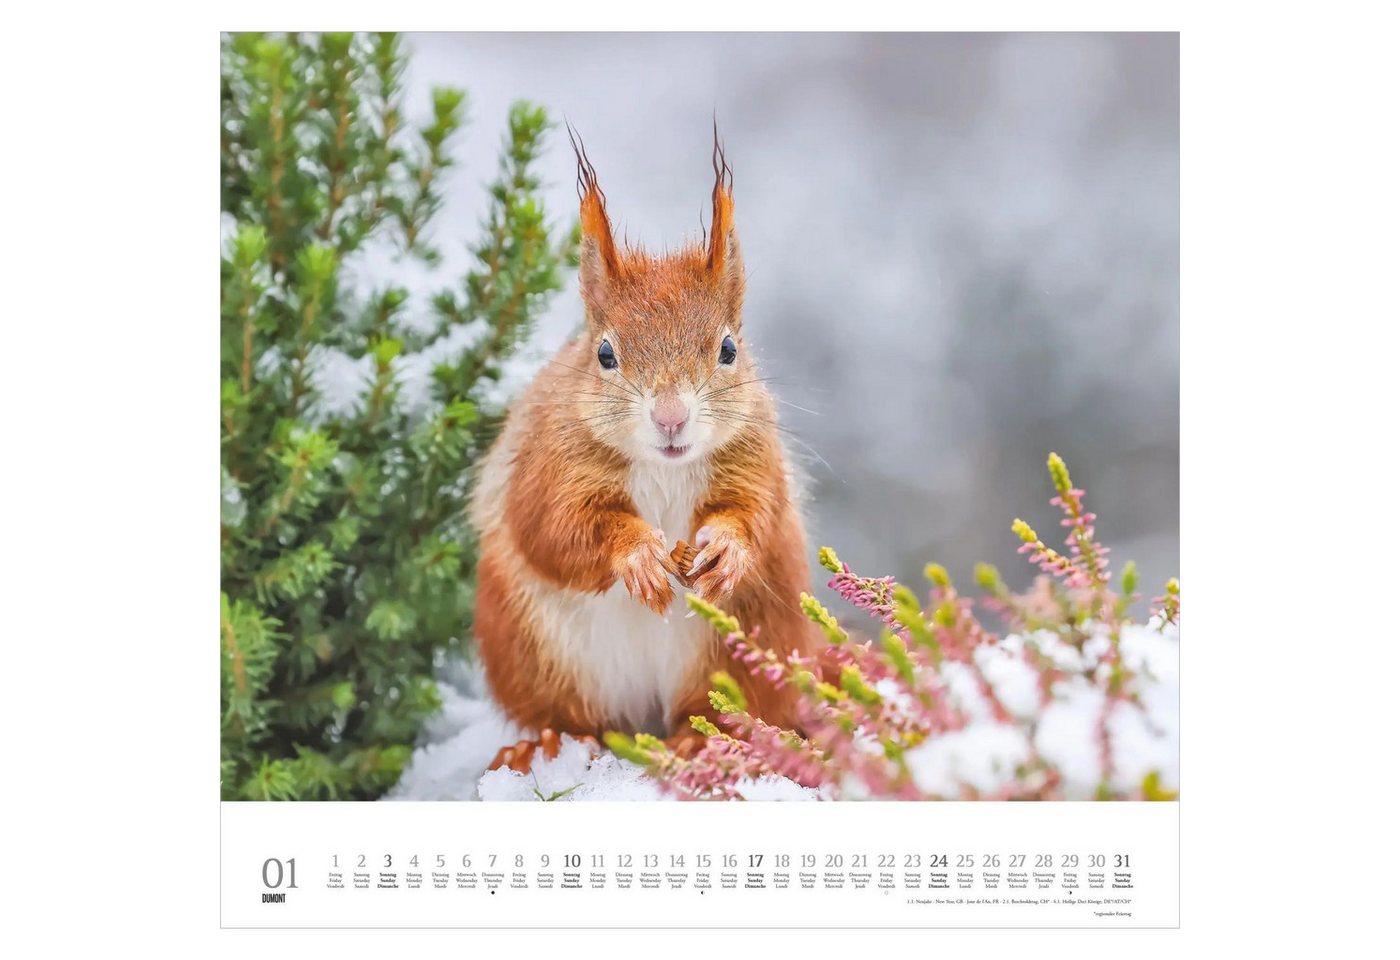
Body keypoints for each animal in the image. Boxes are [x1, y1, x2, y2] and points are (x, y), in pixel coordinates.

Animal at [470, 128, 822, 772]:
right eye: (604, 354)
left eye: (729, 349)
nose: (671, 417)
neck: (664, 468)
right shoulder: (546, 464)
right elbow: (553, 528)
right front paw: (635, 554)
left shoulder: (755, 458)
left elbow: (756, 514)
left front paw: (728, 547)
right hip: (530, 652)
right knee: (571, 715)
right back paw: (552, 742)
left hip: (751, 641)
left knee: (725, 709)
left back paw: (704, 739)